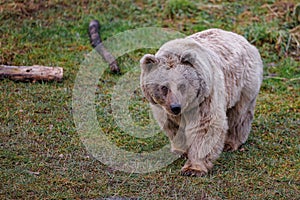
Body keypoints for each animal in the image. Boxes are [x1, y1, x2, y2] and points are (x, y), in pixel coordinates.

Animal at [140, 28, 262, 177]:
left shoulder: (205, 97)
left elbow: (205, 127)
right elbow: (173, 127)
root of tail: (244, 40)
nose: (175, 107)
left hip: (242, 84)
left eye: (182, 85)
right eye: (164, 87)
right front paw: (180, 151)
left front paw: (193, 168)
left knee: (239, 115)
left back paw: (231, 142)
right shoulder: (162, 108)